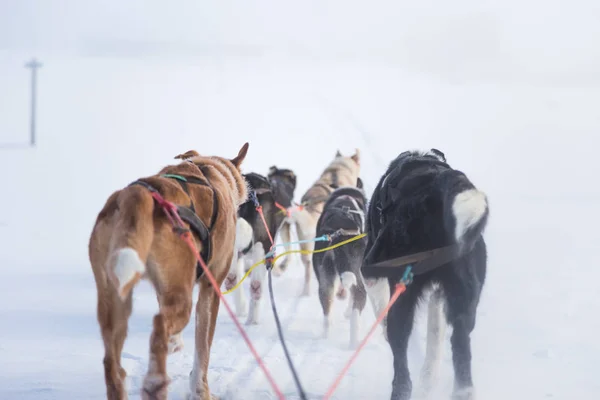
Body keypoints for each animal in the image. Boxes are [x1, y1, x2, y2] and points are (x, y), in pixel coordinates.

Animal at [88, 144, 250, 400]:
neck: (209, 167)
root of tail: (139, 195)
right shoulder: (210, 288)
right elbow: (203, 350)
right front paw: (201, 391)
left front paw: (176, 344)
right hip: (181, 299)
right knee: (158, 332)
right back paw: (156, 383)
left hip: (113, 299)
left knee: (112, 365)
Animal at [360, 149, 488, 400]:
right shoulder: (439, 293)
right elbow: (435, 335)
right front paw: (429, 377)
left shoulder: (371, 273)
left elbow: (381, 311)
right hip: (464, 301)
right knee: (460, 346)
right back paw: (460, 390)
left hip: (401, 293)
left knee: (401, 366)